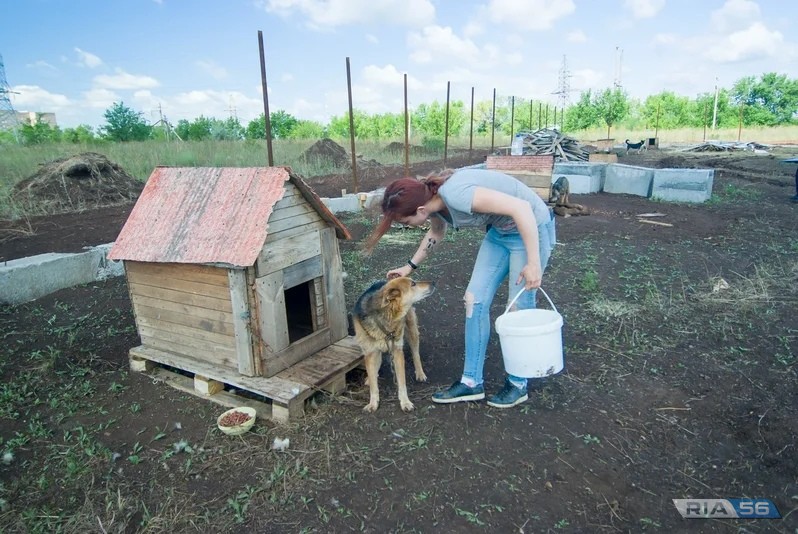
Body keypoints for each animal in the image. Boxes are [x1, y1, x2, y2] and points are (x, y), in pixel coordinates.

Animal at [354, 278, 434, 412]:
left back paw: (420, 373)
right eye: (413, 284)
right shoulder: (370, 352)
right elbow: (373, 386)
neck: (386, 316)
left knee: (416, 353)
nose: (433, 283)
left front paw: (405, 402)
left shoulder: (397, 351)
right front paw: (373, 403)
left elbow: (402, 382)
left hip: (411, 330)